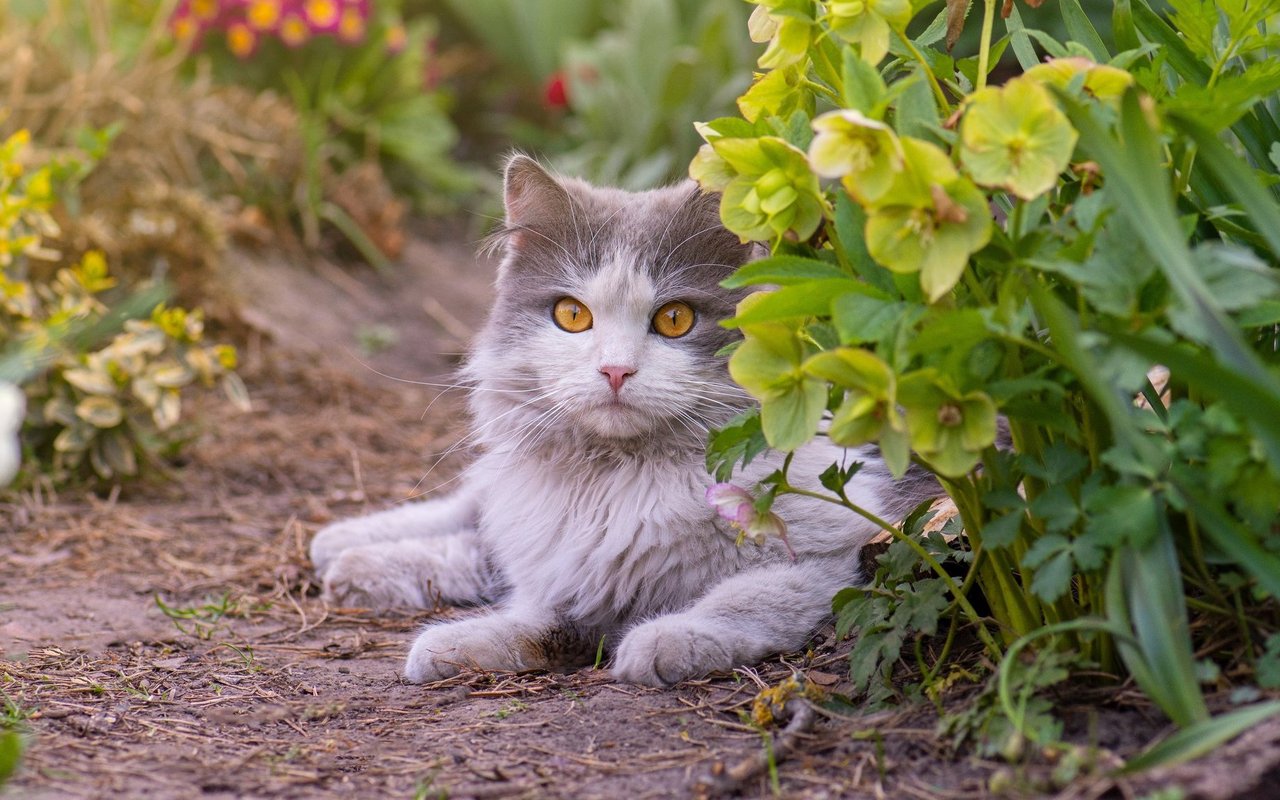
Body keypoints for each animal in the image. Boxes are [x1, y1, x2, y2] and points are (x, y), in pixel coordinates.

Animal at [304, 156, 936, 686]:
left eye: (675, 319)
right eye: (571, 315)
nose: (615, 370)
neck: (616, 482)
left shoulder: (829, 555)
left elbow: (740, 600)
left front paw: (667, 640)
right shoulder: (572, 571)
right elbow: (537, 620)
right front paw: (453, 645)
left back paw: (349, 560)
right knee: (473, 518)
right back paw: (342, 549)